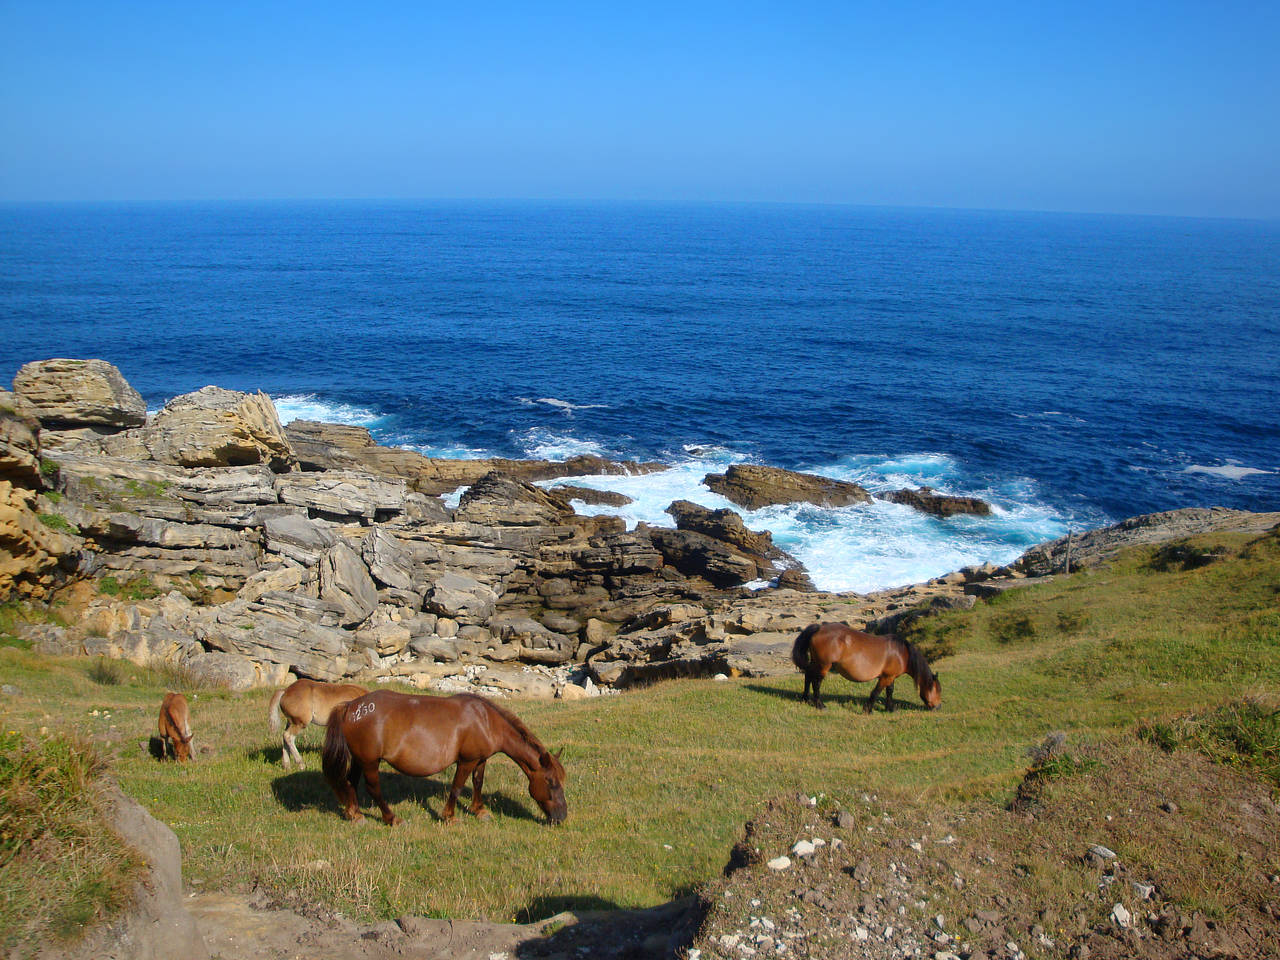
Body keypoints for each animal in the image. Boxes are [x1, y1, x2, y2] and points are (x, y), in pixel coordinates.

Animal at [322, 691, 568, 829]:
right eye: (551, 783)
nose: (561, 817)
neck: (485, 721)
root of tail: (351, 707)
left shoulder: (481, 759)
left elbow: (478, 783)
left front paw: (479, 811)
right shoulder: (466, 761)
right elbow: (457, 787)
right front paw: (449, 817)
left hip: (359, 759)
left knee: (350, 783)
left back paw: (354, 815)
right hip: (370, 762)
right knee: (373, 789)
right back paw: (392, 819)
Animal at [788, 624, 942, 716]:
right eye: (937, 690)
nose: (938, 707)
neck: (902, 653)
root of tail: (819, 628)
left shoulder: (890, 676)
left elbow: (889, 691)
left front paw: (890, 708)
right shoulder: (885, 677)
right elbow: (876, 692)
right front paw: (868, 709)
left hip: (816, 662)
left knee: (808, 675)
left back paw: (805, 699)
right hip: (823, 665)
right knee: (816, 682)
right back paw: (820, 705)